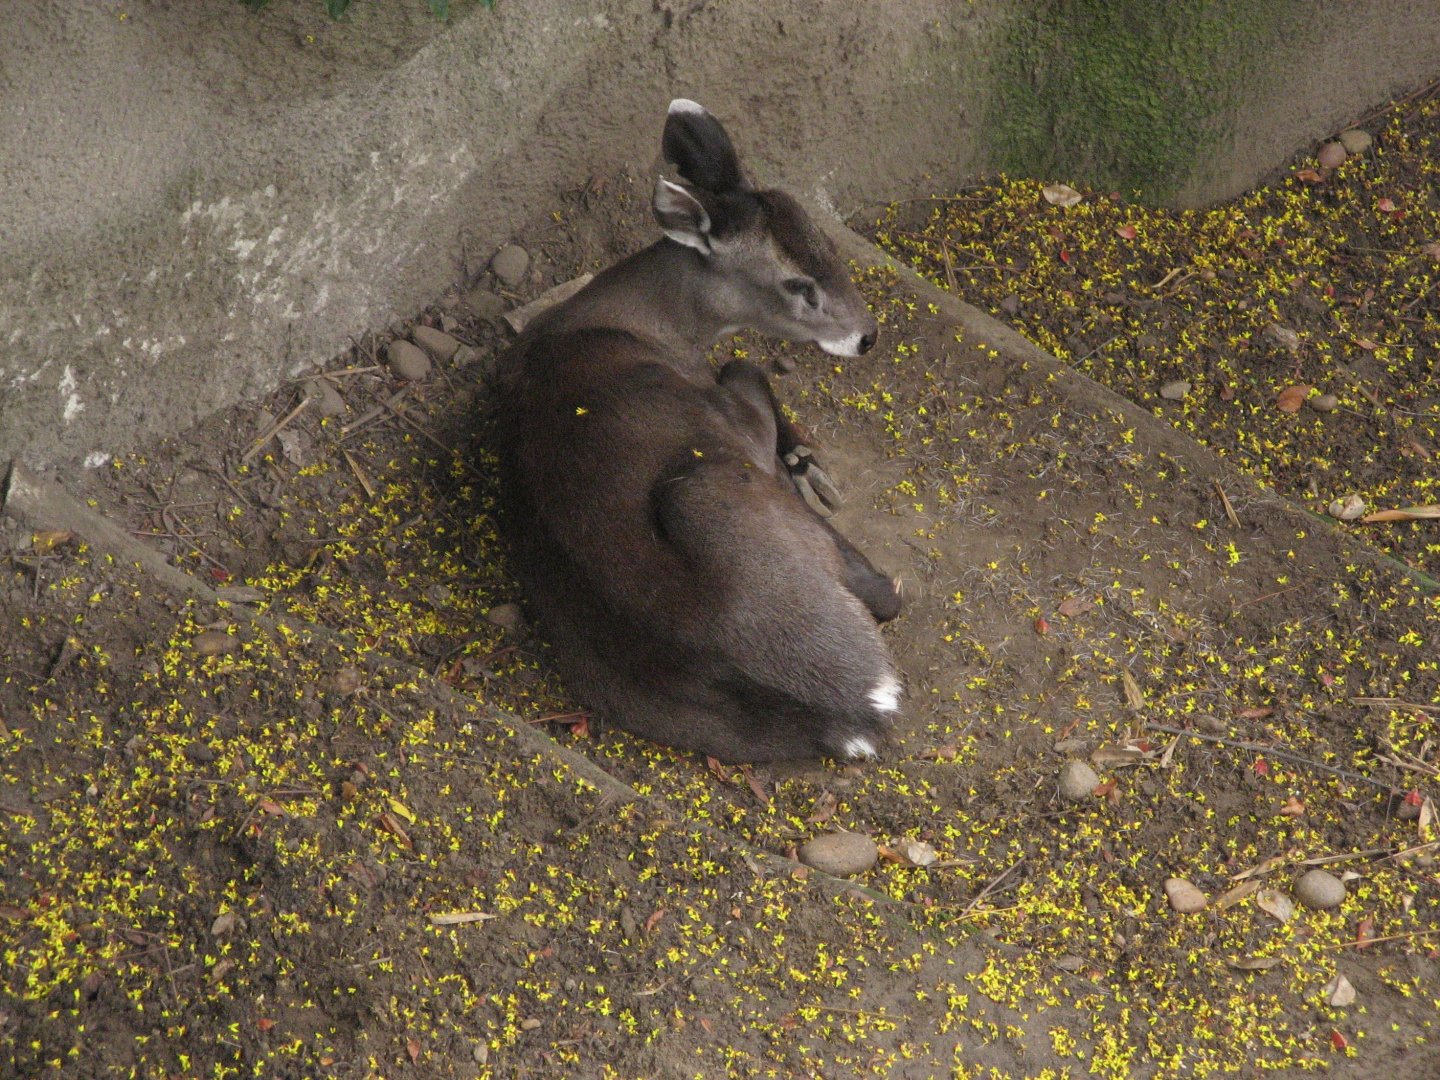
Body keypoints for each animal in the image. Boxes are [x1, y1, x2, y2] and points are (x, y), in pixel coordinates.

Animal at [490, 99, 901, 763]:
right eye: (798, 284)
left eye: (825, 244)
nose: (866, 336)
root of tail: (853, 700)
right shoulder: (733, 418)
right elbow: (744, 365)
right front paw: (804, 461)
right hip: (707, 490)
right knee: (888, 595)